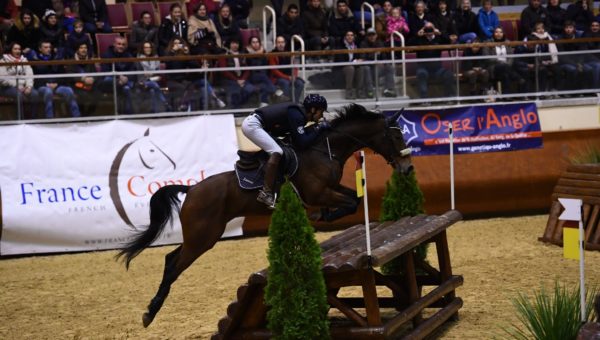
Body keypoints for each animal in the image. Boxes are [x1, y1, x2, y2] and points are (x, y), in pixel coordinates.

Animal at [117, 103, 414, 326]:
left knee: (170, 259)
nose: (408, 169)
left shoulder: (331, 189)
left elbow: (354, 199)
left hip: (202, 236)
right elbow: (351, 203)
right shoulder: (318, 193)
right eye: (396, 137)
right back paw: (150, 313)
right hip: (204, 237)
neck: (325, 149)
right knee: (174, 265)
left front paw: (325, 216)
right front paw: (322, 216)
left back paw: (151, 310)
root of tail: (191, 190)